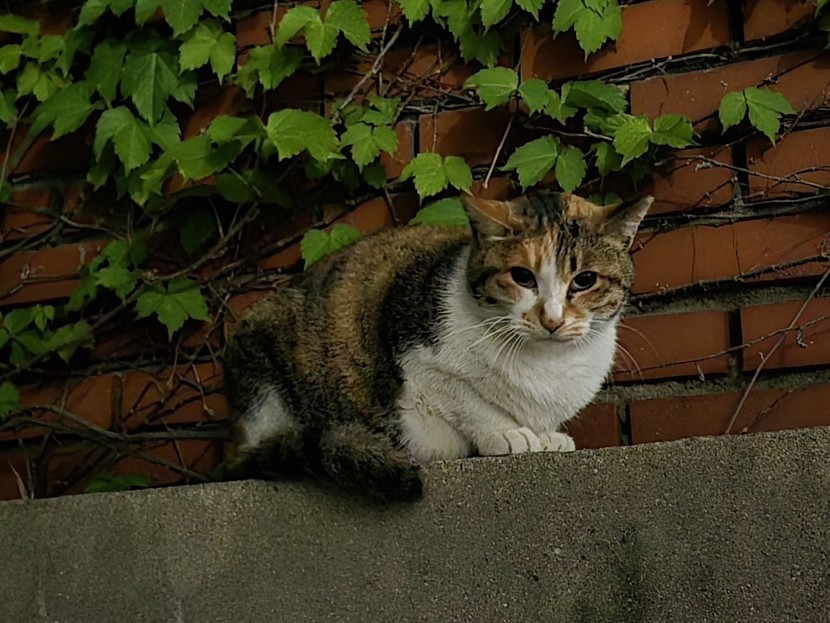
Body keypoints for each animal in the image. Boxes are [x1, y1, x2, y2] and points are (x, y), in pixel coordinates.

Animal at [223, 191, 652, 500]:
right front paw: (508, 433)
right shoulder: (418, 362)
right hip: (258, 353)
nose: (551, 319)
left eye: (584, 280)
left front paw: (547, 435)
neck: (545, 367)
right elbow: (465, 399)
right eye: (522, 277)